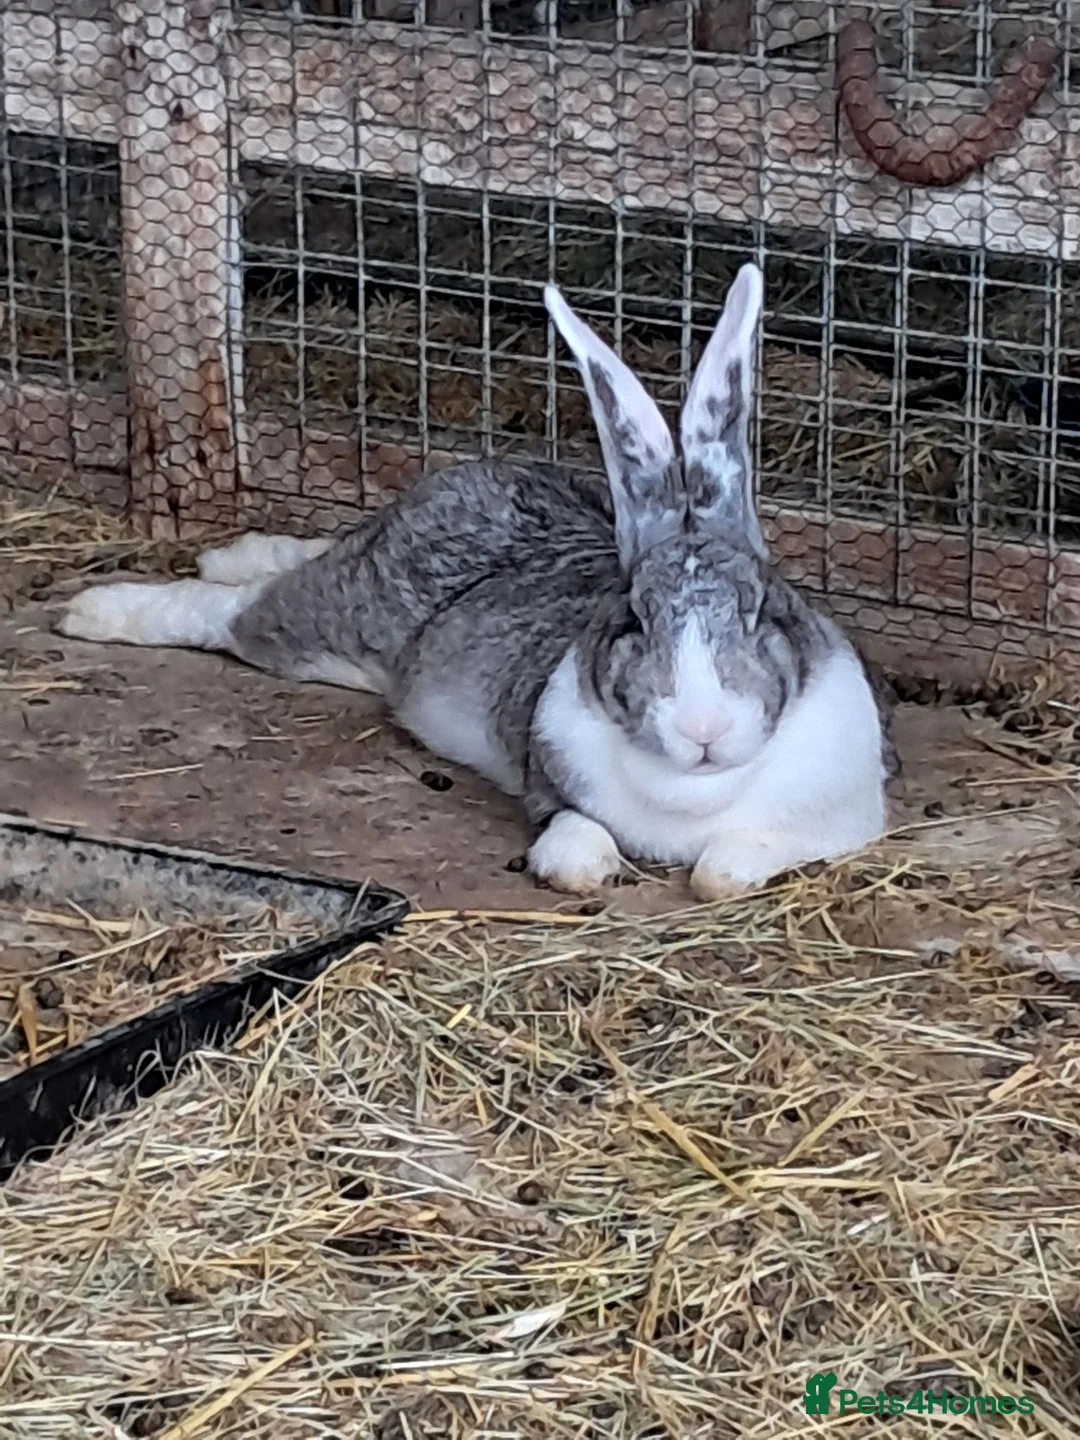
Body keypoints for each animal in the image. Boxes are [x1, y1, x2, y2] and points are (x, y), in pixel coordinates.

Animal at [57, 263, 896, 900]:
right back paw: (97, 611)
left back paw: (236, 553)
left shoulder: (840, 822)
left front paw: (717, 866)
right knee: (235, 614)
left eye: (760, 609)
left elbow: (725, 869)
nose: (703, 729)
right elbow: (576, 848)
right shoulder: (548, 791)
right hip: (333, 622)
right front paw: (586, 869)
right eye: (634, 617)